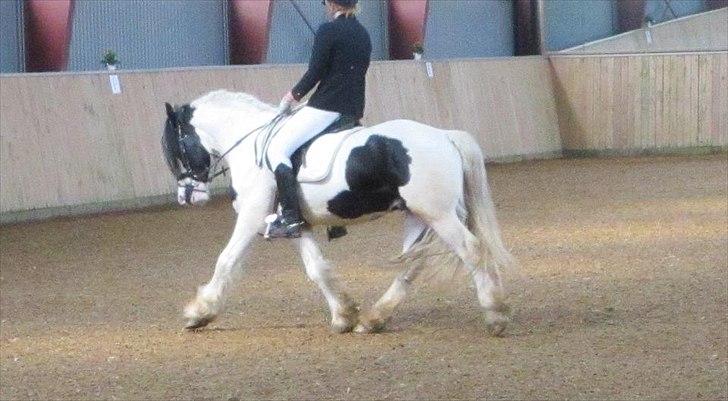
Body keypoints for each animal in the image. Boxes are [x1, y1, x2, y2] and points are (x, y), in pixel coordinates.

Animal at [162, 90, 516, 334]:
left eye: (177, 151)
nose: (186, 197)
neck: (251, 145)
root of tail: (445, 136)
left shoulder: (251, 215)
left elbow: (226, 260)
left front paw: (199, 313)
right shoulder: (295, 224)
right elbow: (316, 268)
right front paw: (344, 316)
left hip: (437, 214)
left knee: (471, 250)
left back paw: (496, 314)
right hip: (420, 215)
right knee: (414, 263)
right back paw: (373, 319)